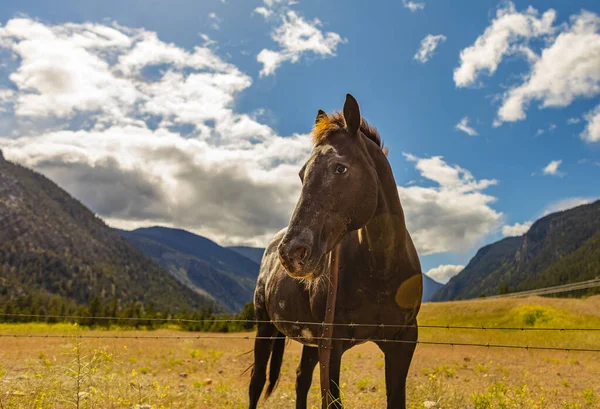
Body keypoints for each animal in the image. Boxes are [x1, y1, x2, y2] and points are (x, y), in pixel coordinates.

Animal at [248, 94, 422, 408]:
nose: (292, 253)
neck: (381, 270)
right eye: (302, 174)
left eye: (340, 168)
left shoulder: (403, 343)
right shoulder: (333, 345)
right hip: (265, 327)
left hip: (311, 342)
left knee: (301, 379)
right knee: (256, 382)